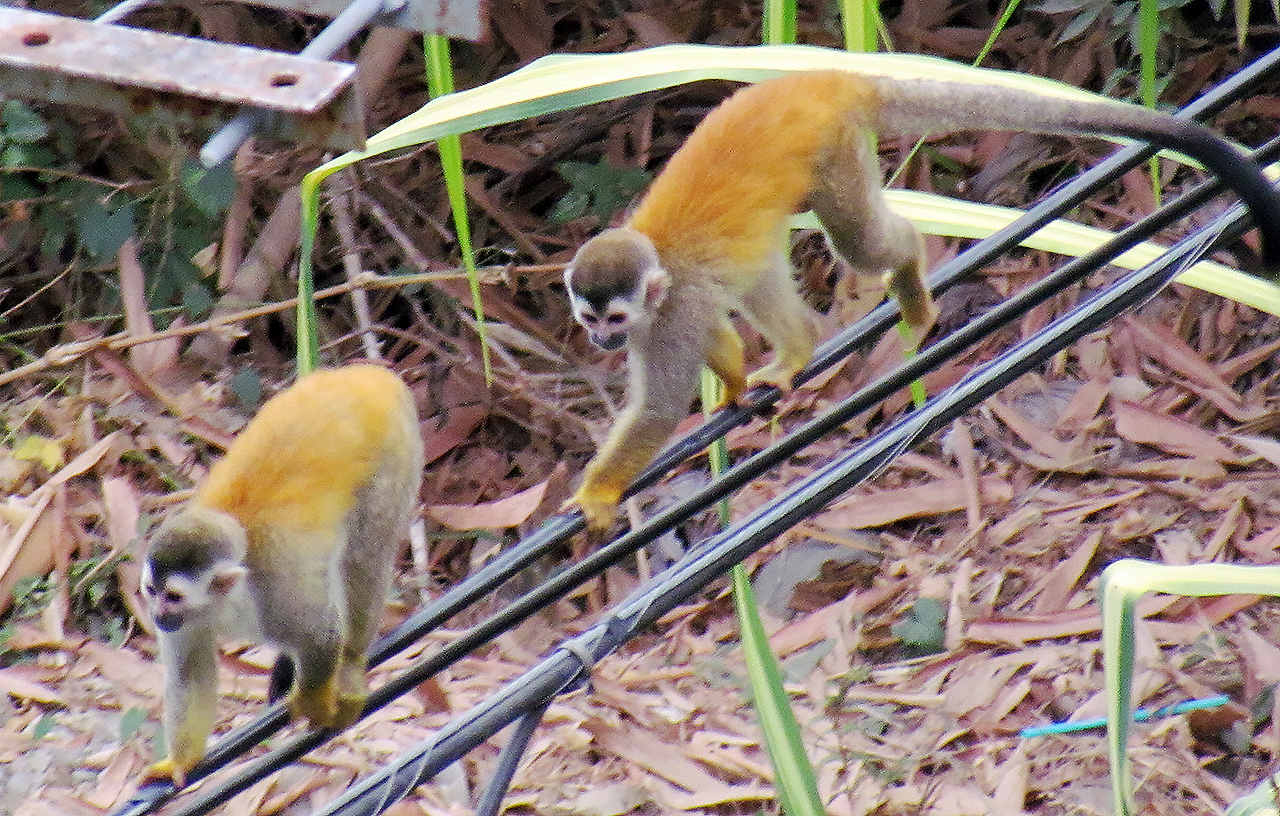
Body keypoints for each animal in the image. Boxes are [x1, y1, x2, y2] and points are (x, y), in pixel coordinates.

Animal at [138, 365, 424, 787]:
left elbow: (322, 633)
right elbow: (189, 672)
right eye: (151, 590)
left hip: (395, 462)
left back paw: (351, 660)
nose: (157, 615)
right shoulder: (188, 623)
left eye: (173, 596)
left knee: (363, 559)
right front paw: (180, 762)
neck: (229, 600)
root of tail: (371, 377)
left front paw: (313, 701)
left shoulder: (276, 590)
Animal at [565, 68, 1280, 532]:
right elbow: (716, 330)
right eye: (588, 317)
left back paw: (908, 273)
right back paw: (797, 351)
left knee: (860, 244)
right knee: (763, 264)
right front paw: (736, 381)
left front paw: (598, 492)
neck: (654, 291)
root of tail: (822, 79)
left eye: (613, 318)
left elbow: (658, 409)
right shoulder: (674, 313)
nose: (600, 340)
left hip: (834, 148)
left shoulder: (669, 315)